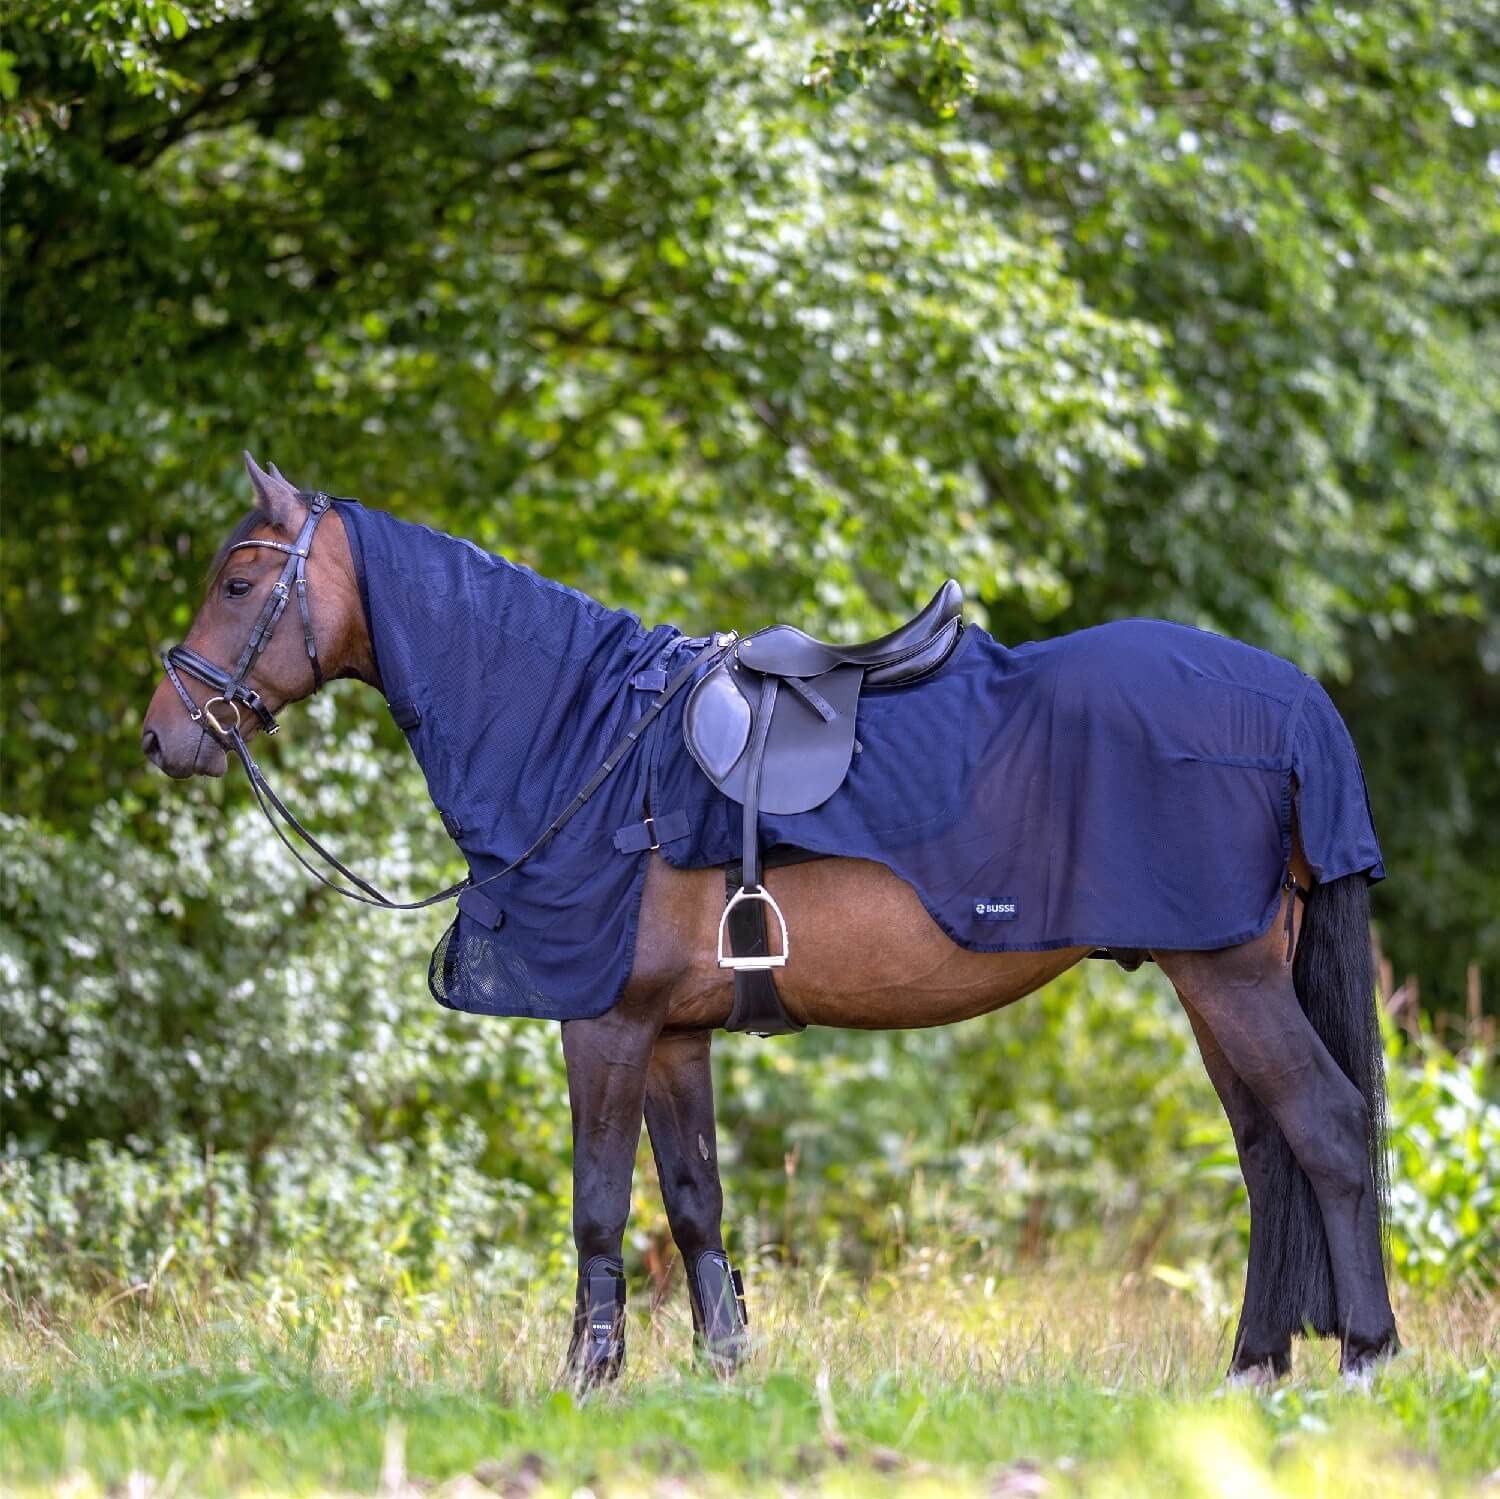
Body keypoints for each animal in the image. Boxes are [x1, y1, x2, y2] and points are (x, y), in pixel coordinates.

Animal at [141, 454, 1399, 1388]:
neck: (585, 736)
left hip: (1226, 973)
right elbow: (696, 1204)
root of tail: (1294, 702)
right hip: (1223, 977)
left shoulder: (602, 1022)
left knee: (1328, 1130)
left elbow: (599, 1204)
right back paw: (1255, 1365)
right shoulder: (673, 1031)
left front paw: (587, 1375)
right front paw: (725, 1369)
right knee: (1269, 1154)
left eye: (241, 584)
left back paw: (1364, 1359)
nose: (165, 732)